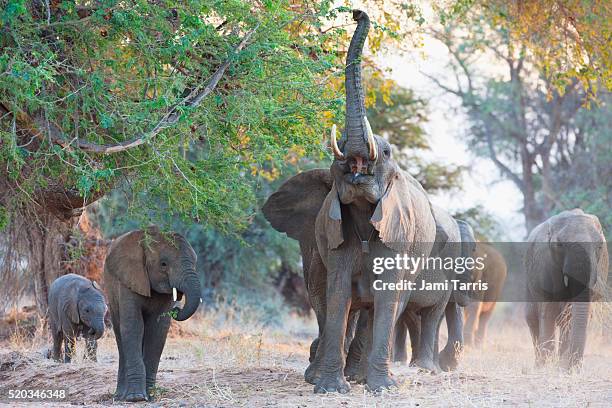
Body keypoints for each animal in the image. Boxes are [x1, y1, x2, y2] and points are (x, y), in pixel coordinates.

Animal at [104, 226, 202, 402]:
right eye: (163, 264)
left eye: (195, 263)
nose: (176, 309)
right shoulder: (129, 280)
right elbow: (133, 326)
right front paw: (136, 398)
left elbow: (157, 330)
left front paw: (149, 396)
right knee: (120, 334)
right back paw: (120, 396)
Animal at [262, 9, 440, 392]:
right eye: (339, 149)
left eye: (386, 152)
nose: (358, 12)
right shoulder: (333, 233)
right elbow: (337, 292)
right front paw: (328, 387)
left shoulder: (398, 234)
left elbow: (385, 299)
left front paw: (382, 388)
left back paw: (360, 376)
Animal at [524, 210, 608, 370]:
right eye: (559, 245)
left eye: (600, 246)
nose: (572, 370)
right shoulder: (546, 264)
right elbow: (548, 310)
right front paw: (547, 367)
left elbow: (571, 316)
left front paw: (562, 368)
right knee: (532, 318)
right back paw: (539, 365)